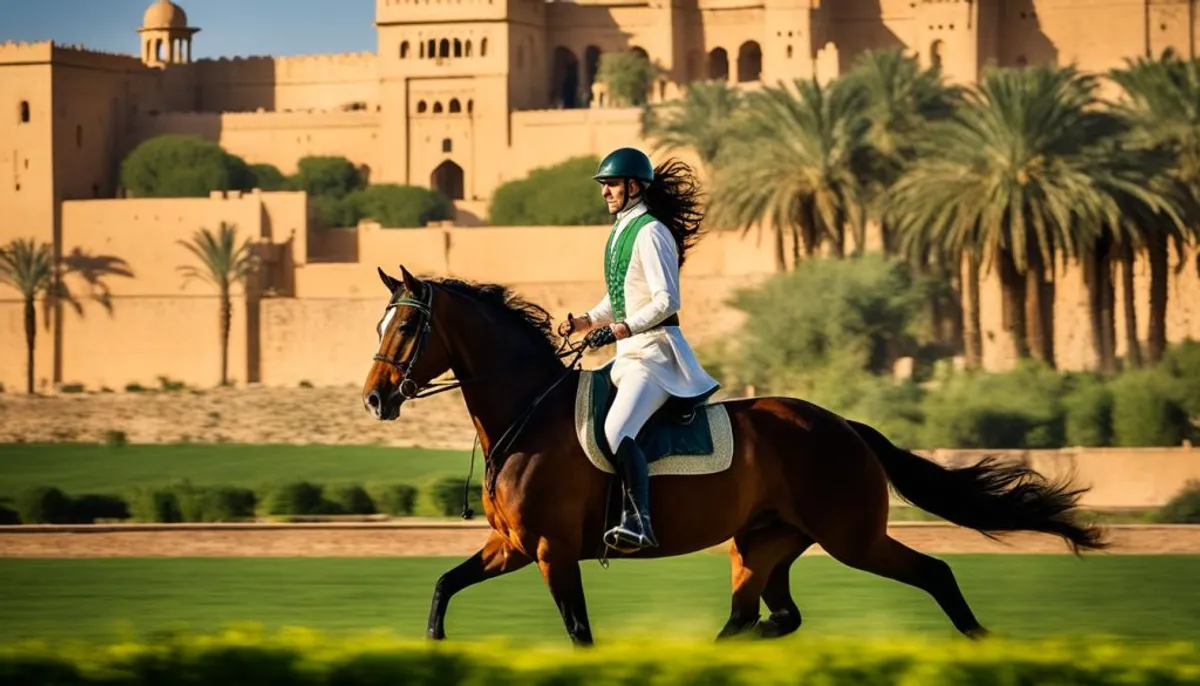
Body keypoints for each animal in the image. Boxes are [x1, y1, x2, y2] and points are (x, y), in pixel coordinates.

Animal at [360, 265, 1108, 647]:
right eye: (380, 322)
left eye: (408, 327)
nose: (374, 399)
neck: (528, 415)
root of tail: (843, 426)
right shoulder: (513, 546)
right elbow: (442, 589)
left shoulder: (551, 550)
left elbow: (578, 631)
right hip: (765, 543)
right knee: (768, 615)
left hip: (853, 538)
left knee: (936, 574)